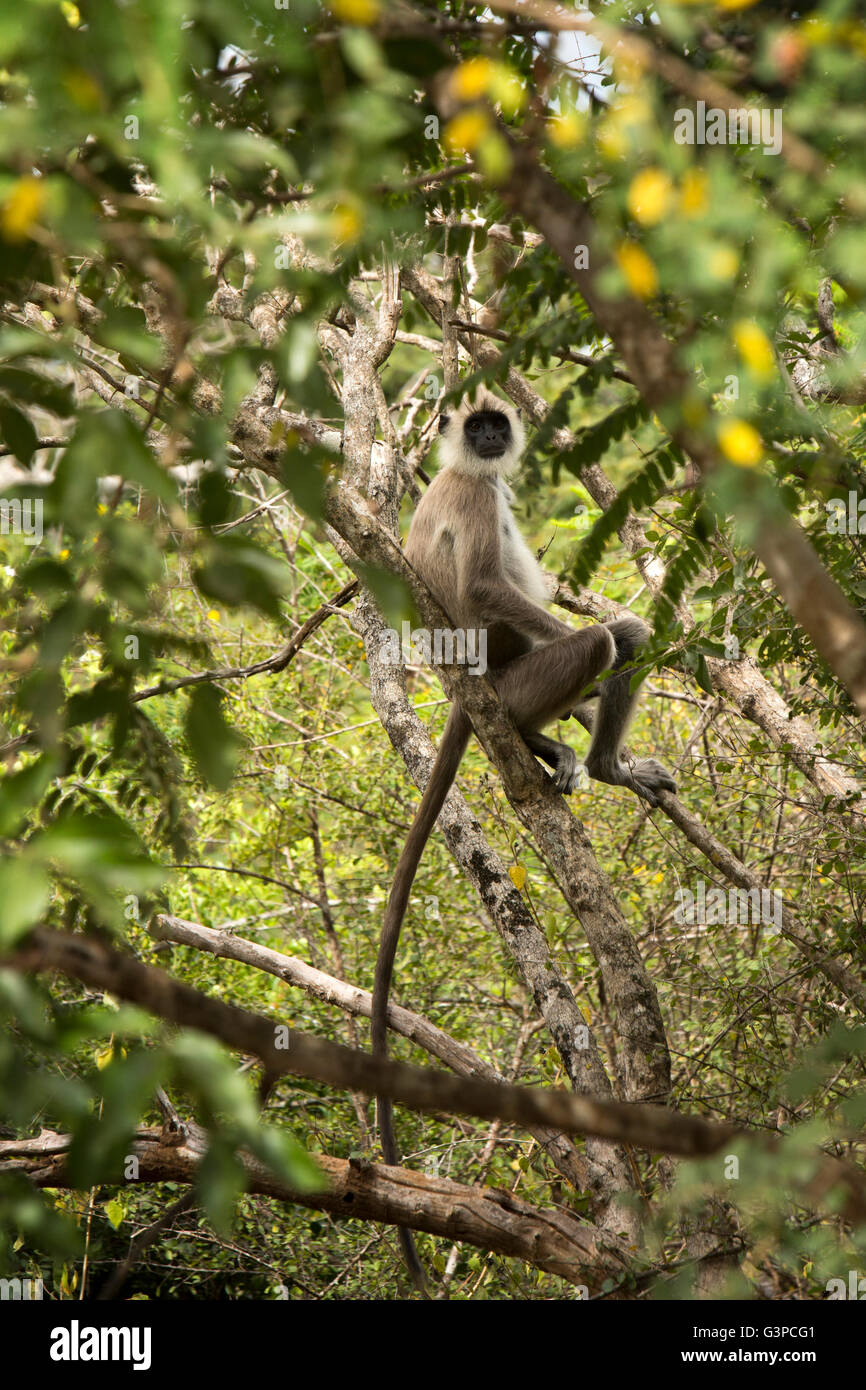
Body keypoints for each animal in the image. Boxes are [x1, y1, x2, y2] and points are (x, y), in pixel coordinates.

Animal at [372, 386, 678, 1284]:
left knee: (622, 639)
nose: (484, 438)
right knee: (605, 637)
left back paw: (585, 758)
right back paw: (572, 749)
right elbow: (484, 586)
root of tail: (466, 689)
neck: (470, 473)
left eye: (493, 426)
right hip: (513, 677)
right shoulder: (473, 502)